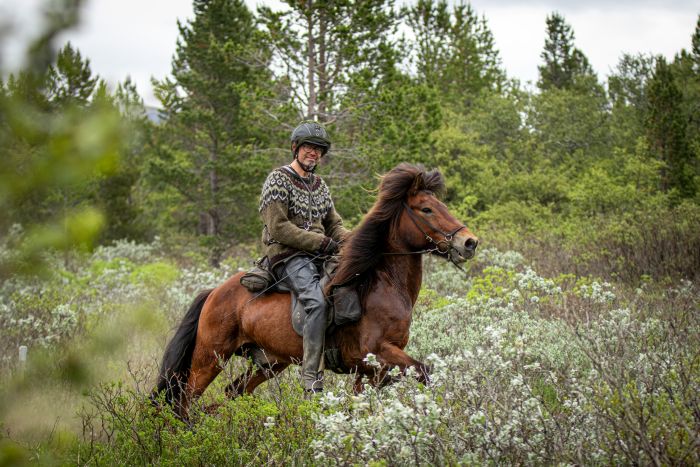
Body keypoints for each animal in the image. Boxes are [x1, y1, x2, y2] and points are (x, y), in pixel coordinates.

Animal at [153, 164, 478, 416]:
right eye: (427, 209)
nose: (469, 242)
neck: (382, 285)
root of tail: (214, 292)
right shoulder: (374, 354)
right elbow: (423, 370)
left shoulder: (370, 369)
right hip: (210, 358)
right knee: (184, 400)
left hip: (270, 363)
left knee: (234, 391)